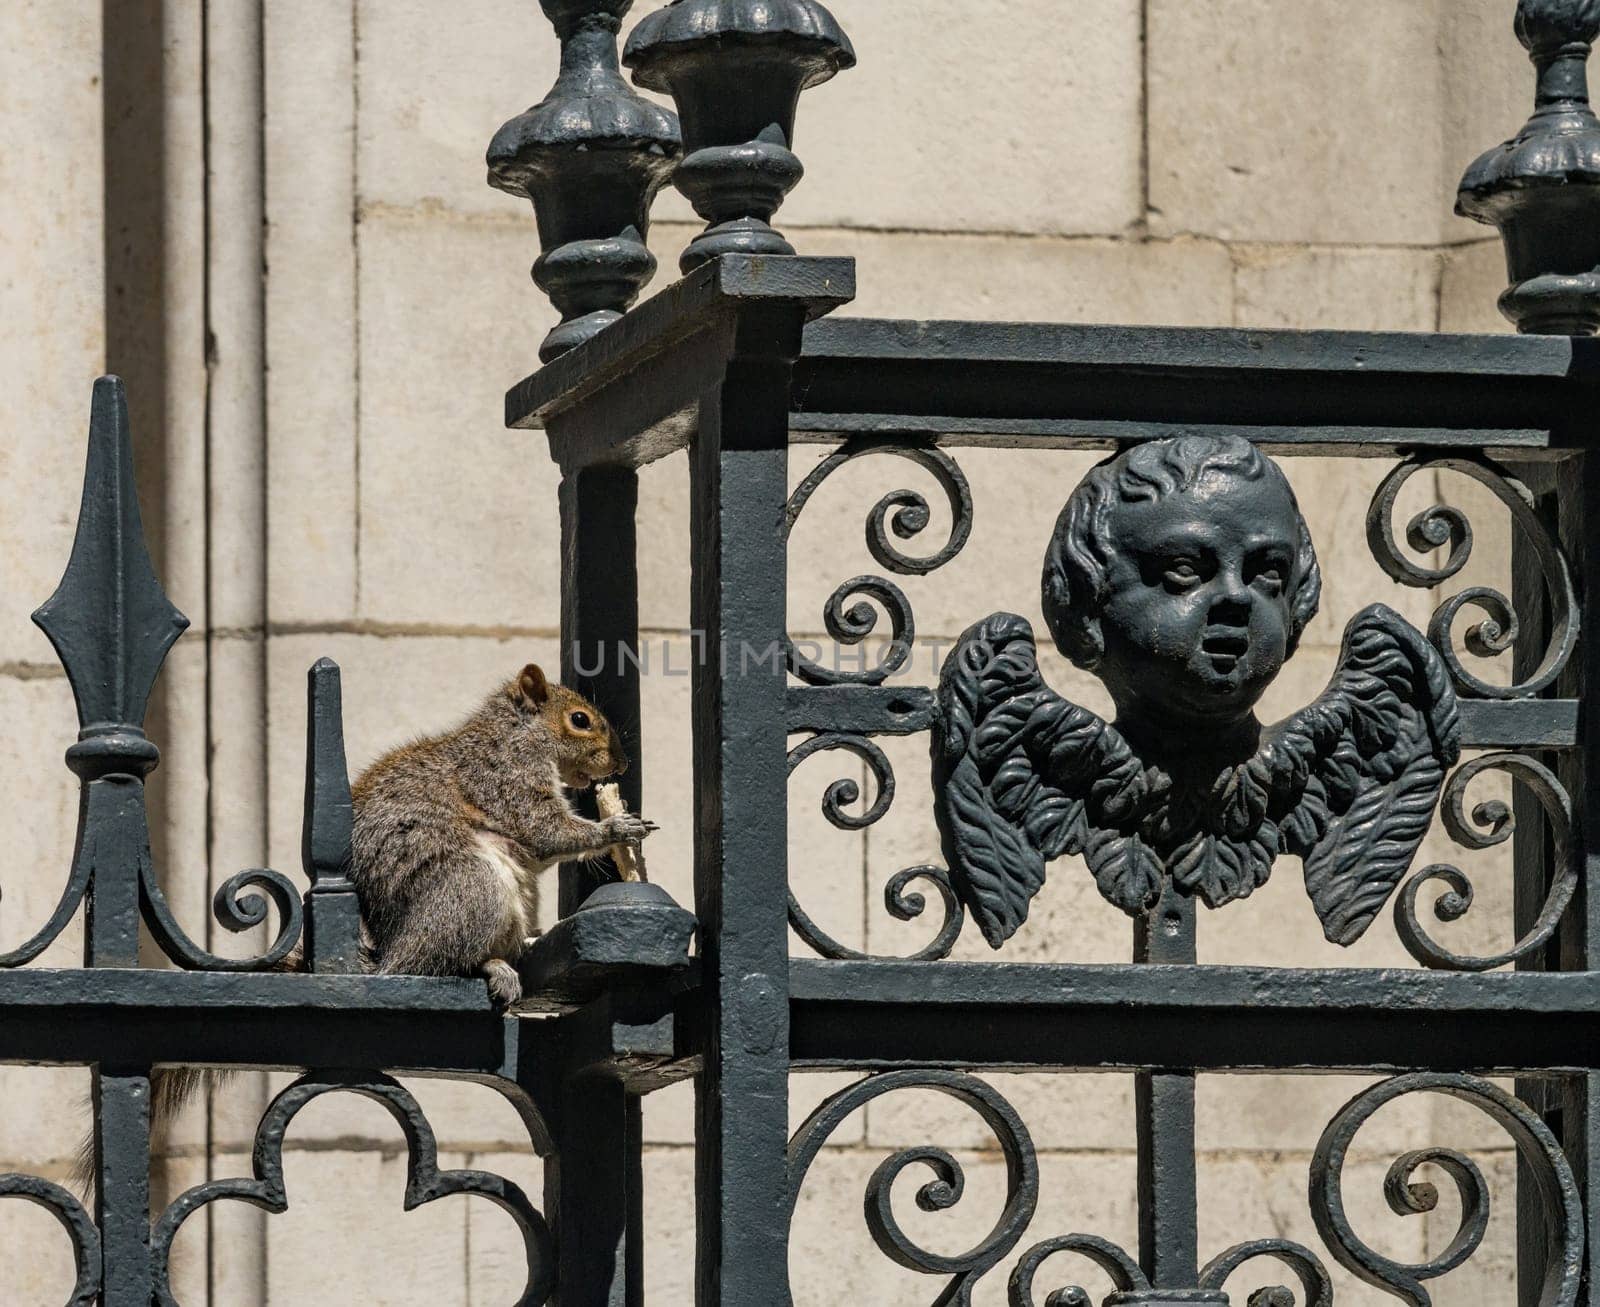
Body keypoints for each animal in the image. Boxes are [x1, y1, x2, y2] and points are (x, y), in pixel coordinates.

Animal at [73, 662, 649, 1183]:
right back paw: (494, 966)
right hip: (472, 886)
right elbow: (546, 830)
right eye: (579, 720)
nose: (620, 764)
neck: (517, 733)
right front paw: (615, 827)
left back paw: (528, 939)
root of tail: (395, 951)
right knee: (445, 960)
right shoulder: (505, 778)